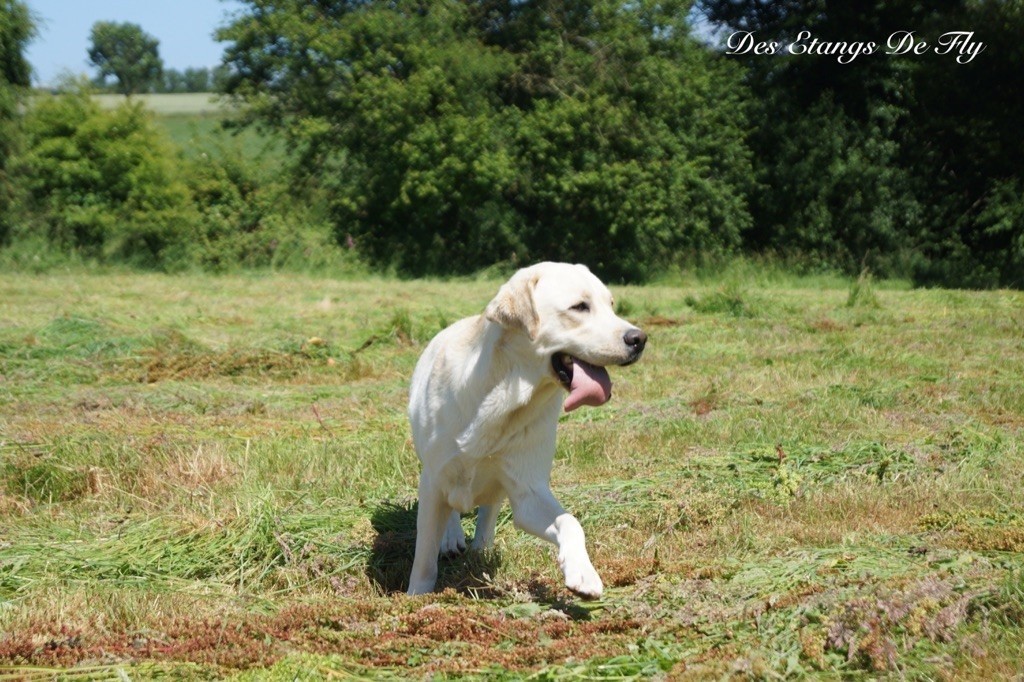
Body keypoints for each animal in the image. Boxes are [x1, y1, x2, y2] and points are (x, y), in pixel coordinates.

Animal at [403, 260, 643, 593]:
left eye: (611, 305)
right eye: (580, 307)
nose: (640, 339)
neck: (506, 397)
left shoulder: (528, 490)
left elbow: (570, 522)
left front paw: (583, 573)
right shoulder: (434, 478)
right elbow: (424, 551)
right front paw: (417, 595)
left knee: (489, 507)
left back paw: (482, 547)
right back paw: (451, 538)